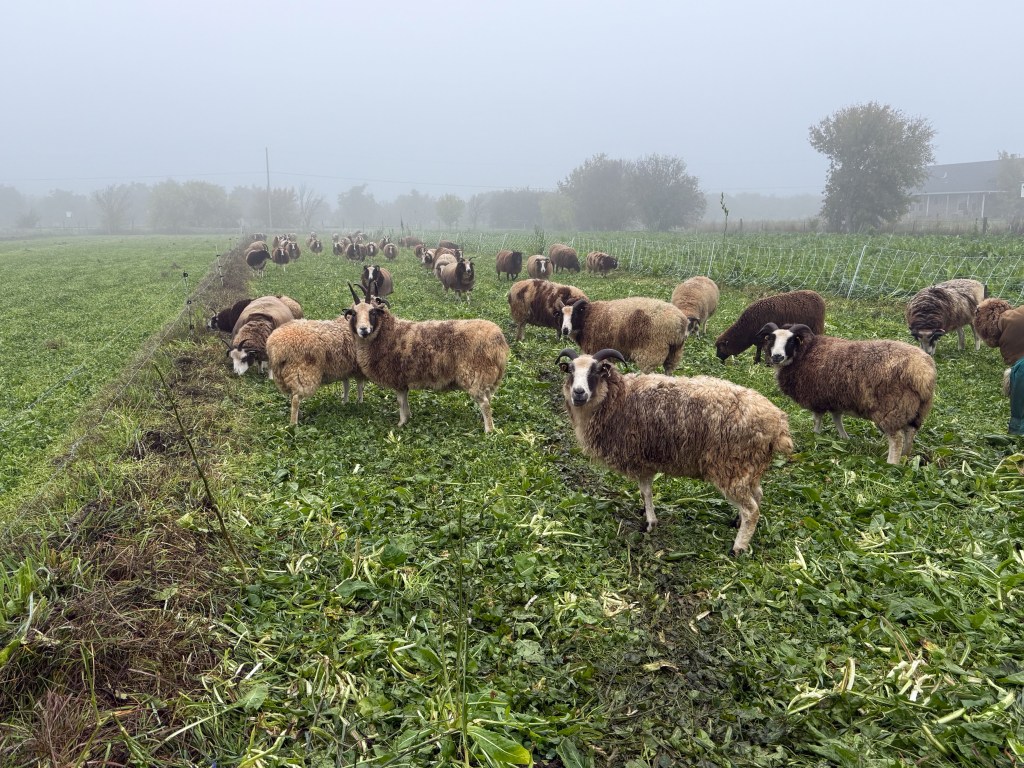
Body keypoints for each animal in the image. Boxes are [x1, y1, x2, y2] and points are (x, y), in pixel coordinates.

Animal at [343, 284, 508, 432]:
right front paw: (408, 418)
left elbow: (400, 402)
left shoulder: (397, 378)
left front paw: (401, 424)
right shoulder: (403, 381)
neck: (389, 332)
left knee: (485, 403)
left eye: (373, 312)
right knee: (488, 398)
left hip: (474, 374)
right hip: (486, 377)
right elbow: (405, 401)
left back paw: (488, 431)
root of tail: (498, 339)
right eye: (354, 314)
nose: (363, 329)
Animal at [557, 348, 792, 554]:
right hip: (750, 467)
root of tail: (778, 424)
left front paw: (650, 522)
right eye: (570, 371)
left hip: (731, 467)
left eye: (596, 371)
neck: (618, 398)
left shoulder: (641, 460)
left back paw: (738, 548)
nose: (579, 393)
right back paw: (736, 522)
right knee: (757, 495)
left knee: (752, 510)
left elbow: (646, 491)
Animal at [559, 296, 689, 374]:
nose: (565, 330)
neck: (587, 318)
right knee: (669, 372)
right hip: (675, 352)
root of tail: (679, 320)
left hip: (651, 353)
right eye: (561, 315)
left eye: (574, 314)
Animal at [759, 323, 936, 464]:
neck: (803, 353)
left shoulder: (816, 398)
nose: (777, 356)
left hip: (892, 407)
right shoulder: (835, 398)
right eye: (771, 339)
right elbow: (837, 418)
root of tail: (923, 373)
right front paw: (844, 438)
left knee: (897, 438)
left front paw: (816, 436)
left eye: (790, 341)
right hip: (915, 408)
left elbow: (817, 420)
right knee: (910, 432)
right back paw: (905, 457)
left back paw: (892, 463)